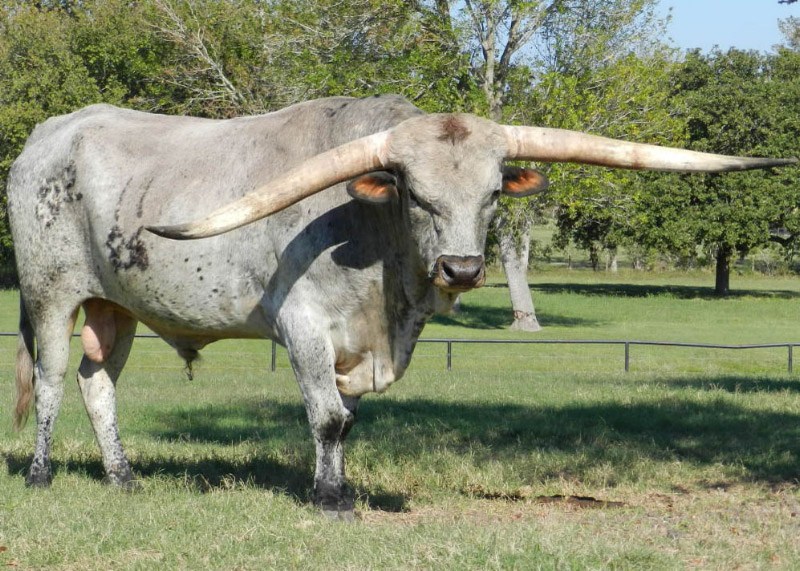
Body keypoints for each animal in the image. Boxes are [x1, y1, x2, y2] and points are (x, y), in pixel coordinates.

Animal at [8, 95, 795, 520]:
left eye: (493, 193)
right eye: (415, 193)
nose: (464, 266)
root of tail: (49, 134)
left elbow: (348, 420)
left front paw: (339, 483)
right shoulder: (303, 327)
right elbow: (327, 417)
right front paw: (330, 499)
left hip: (114, 305)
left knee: (98, 383)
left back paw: (123, 476)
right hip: (49, 294)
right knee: (51, 380)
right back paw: (42, 474)